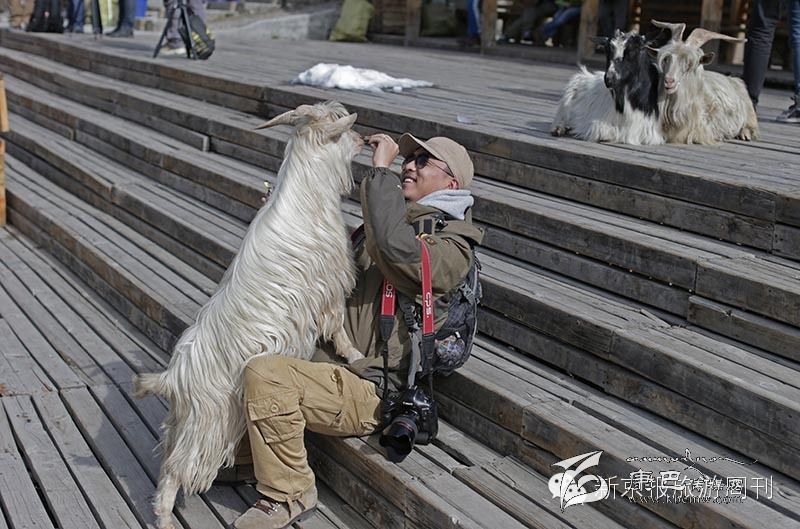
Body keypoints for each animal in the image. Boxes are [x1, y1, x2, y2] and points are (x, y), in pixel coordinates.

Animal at [134, 100, 365, 529]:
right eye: (342, 130)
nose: (364, 139)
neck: (307, 192)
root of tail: (173, 378)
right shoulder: (327, 285)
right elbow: (338, 323)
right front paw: (355, 355)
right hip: (210, 424)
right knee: (176, 470)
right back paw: (166, 519)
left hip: (185, 424)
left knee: (168, 459)